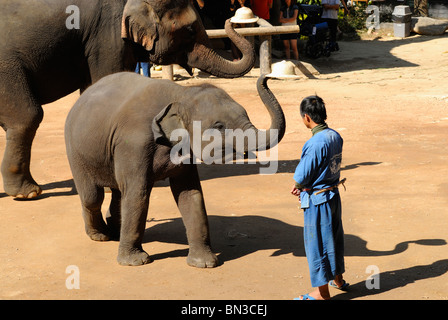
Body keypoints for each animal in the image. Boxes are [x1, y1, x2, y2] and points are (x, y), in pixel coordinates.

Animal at [0, 0, 256, 199]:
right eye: (190, 30)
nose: (231, 17)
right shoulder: (107, 34)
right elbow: (109, 77)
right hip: (6, 65)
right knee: (28, 116)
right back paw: (28, 193)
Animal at [65, 71, 286, 266]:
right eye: (219, 126)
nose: (268, 76)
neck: (181, 94)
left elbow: (190, 192)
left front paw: (204, 263)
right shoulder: (133, 144)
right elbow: (138, 193)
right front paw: (136, 262)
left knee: (118, 192)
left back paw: (115, 231)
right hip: (75, 151)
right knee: (93, 196)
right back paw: (100, 236)